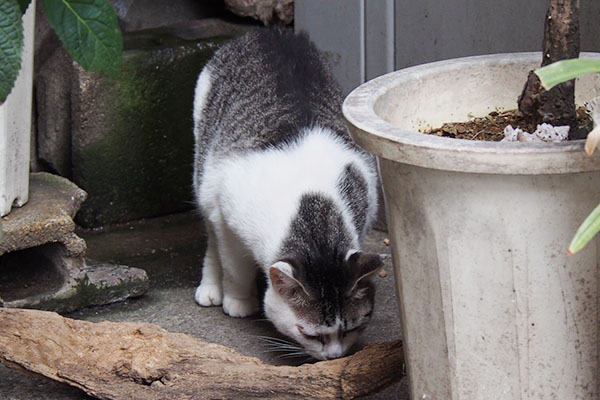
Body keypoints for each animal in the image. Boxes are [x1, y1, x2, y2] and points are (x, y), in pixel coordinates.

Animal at [190, 29, 382, 360]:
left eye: (351, 329)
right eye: (310, 334)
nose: (334, 356)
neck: (313, 209)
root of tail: (270, 32)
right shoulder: (228, 216)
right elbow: (234, 265)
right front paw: (238, 300)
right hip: (204, 174)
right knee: (211, 237)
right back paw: (212, 287)